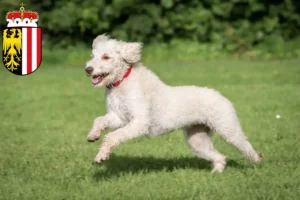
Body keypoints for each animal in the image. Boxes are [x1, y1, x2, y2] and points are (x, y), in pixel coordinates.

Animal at [85, 34, 262, 172]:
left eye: (106, 57)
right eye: (92, 56)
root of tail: (220, 95)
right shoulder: (119, 117)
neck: (122, 81)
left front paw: (102, 155)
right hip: (197, 139)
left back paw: (257, 162)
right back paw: (216, 172)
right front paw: (93, 135)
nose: (88, 69)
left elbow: (112, 137)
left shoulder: (140, 123)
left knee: (245, 145)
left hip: (228, 128)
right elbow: (99, 120)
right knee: (220, 156)